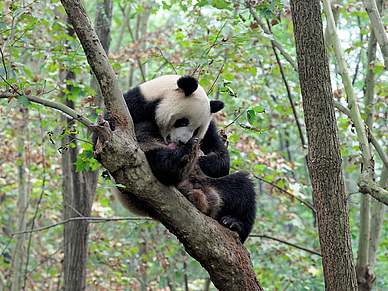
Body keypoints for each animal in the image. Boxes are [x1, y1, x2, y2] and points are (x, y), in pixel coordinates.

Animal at [93, 75, 258, 244]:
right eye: (183, 121)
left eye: (196, 130)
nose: (182, 142)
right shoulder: (131, 106)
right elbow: (107, 144)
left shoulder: (209, 129)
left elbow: (220, 153)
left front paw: (205, 162)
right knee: (160, 162)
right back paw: (181, 159)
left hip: (215, 184)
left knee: (244, 188)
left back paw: (234, 224)